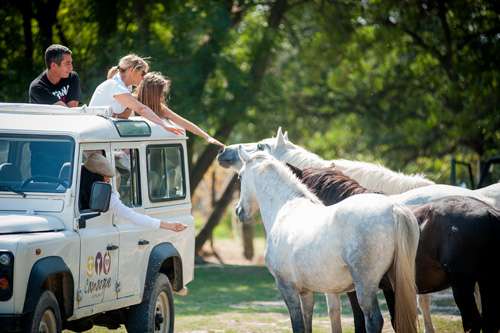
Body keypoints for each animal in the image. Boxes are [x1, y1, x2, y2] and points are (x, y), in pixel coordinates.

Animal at [232, 148, 420, 332]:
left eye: (240, 176)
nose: (239, 211)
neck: (285, 208)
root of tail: (394, 209)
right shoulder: (306, 292)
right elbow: (307, 321)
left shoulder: (287, 288)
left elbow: (298, 325)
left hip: (366, 286)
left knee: (374, 320)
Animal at [288, 163, 500, 332]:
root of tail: (489, 212)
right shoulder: (392, 289)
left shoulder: (358, 291)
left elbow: (361, 322)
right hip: (485, 282)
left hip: (463, 285)